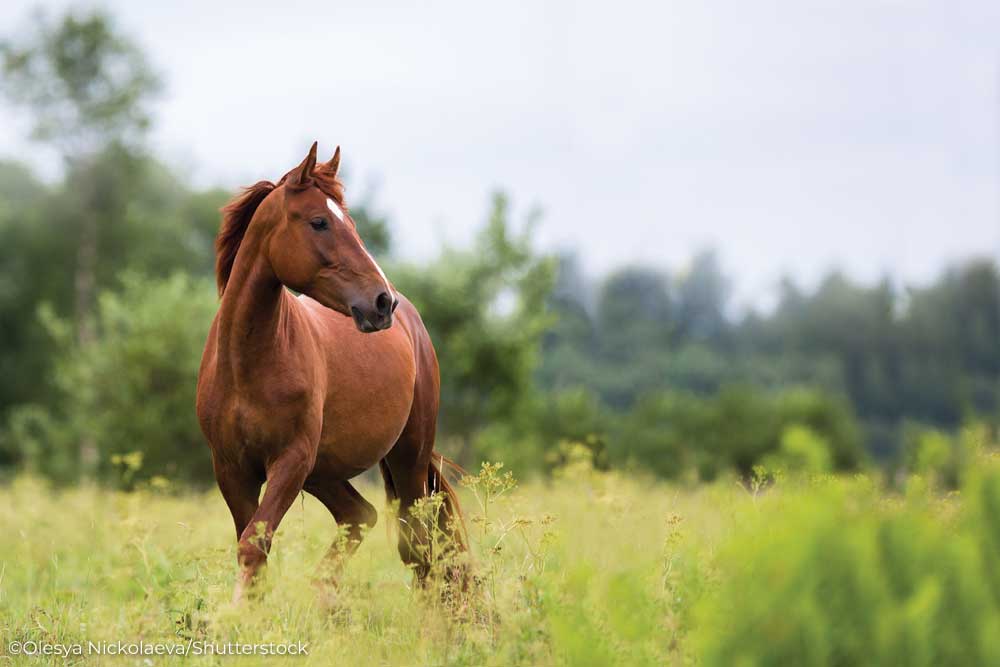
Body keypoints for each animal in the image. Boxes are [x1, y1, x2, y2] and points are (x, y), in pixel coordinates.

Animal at [197, 141, 466, 600]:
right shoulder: (232, 469)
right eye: (319, 221)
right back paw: (325, 594)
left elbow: (254, 545)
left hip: (405, 457)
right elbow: (253, 548)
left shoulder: (290, 461)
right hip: (323, 472)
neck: (247, 365)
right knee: (361, 516)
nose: (381, 302)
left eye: (349, 222)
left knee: (416, 545)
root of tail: (412, 323)